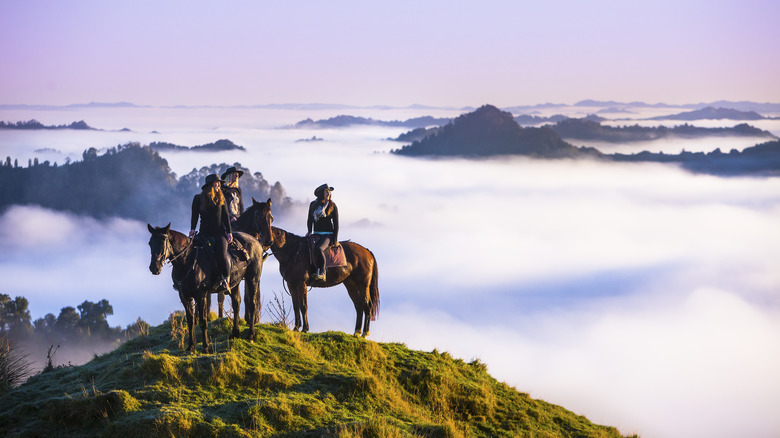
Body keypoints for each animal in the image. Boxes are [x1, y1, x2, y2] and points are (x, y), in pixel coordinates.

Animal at [148, 221, 272, 350]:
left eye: (163, 241)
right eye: (150, 243)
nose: (154, 268)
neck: (188, 260)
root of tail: (256, 242)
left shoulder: (201, 295)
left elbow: (203, 321)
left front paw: (206, 346)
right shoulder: (185, 296)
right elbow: (190, 321)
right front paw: (191, 347)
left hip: (252, 279)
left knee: (252, 304)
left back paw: (250, 335)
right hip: (235, 283)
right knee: (236, 303)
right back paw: (235, 333)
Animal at [242, 200, 380, 338]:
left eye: (257, 238)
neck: (292, 250)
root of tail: (367, 252)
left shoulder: (301, 283)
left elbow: (303, 306)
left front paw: (305, 328)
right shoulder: (291, 284)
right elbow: (296, 305)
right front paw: (296, 328)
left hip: (363, 285)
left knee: (367, 306)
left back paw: (364, 333)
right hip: (351, 284)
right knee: (359, 306)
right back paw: (357, 332)